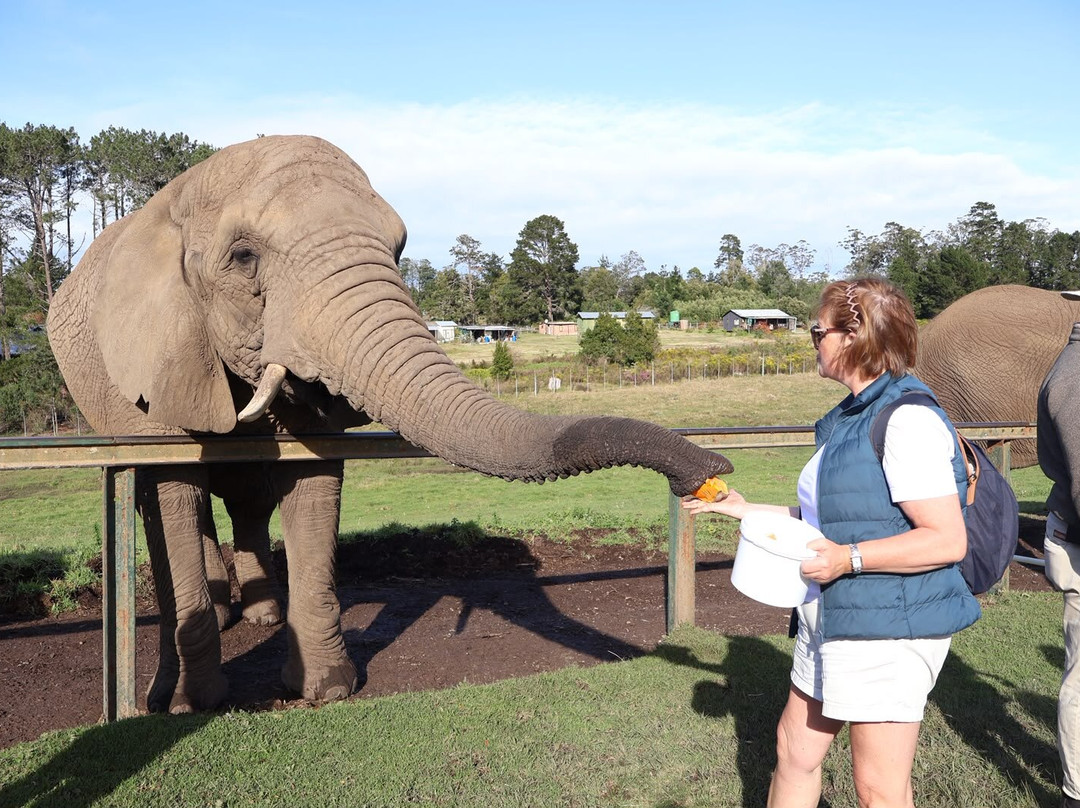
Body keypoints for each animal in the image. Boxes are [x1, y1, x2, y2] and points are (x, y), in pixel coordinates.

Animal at [46, 135, 733, 714]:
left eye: (399, 250)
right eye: (243, 259)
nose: (713, 472)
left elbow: (313, 478)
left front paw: (326, 691)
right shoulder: (156, 359)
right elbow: (171, 489)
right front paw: (195, 706)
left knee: (245, 497)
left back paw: (261, 617)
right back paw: (220, 623)